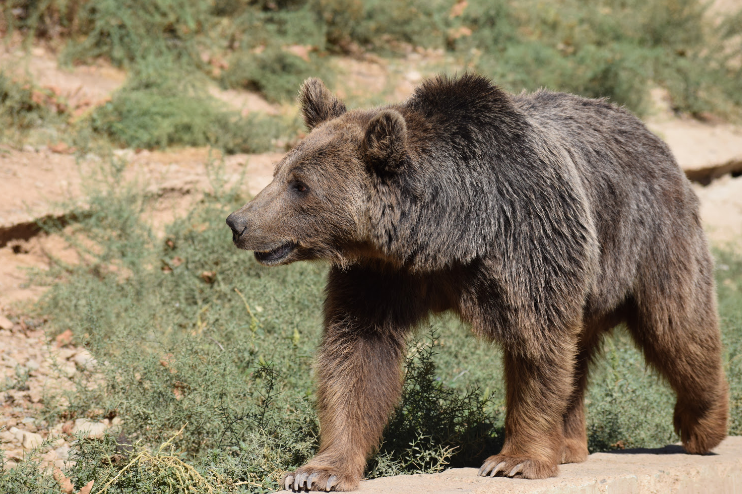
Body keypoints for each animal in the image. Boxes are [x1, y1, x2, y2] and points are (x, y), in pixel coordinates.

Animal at [225, 72, 728, 490]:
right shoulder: (381, 275)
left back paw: (704, 424)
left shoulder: (529, 243)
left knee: (677, 327)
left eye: (300, 185)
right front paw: (319, 471)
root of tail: (650, 133)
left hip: (647, 236)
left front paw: (514, 460)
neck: (450, 236)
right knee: (582, 351)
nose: (238, 222)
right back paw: (569, 445)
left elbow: (537, 347)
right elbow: (358, 355)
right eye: (278, 172)